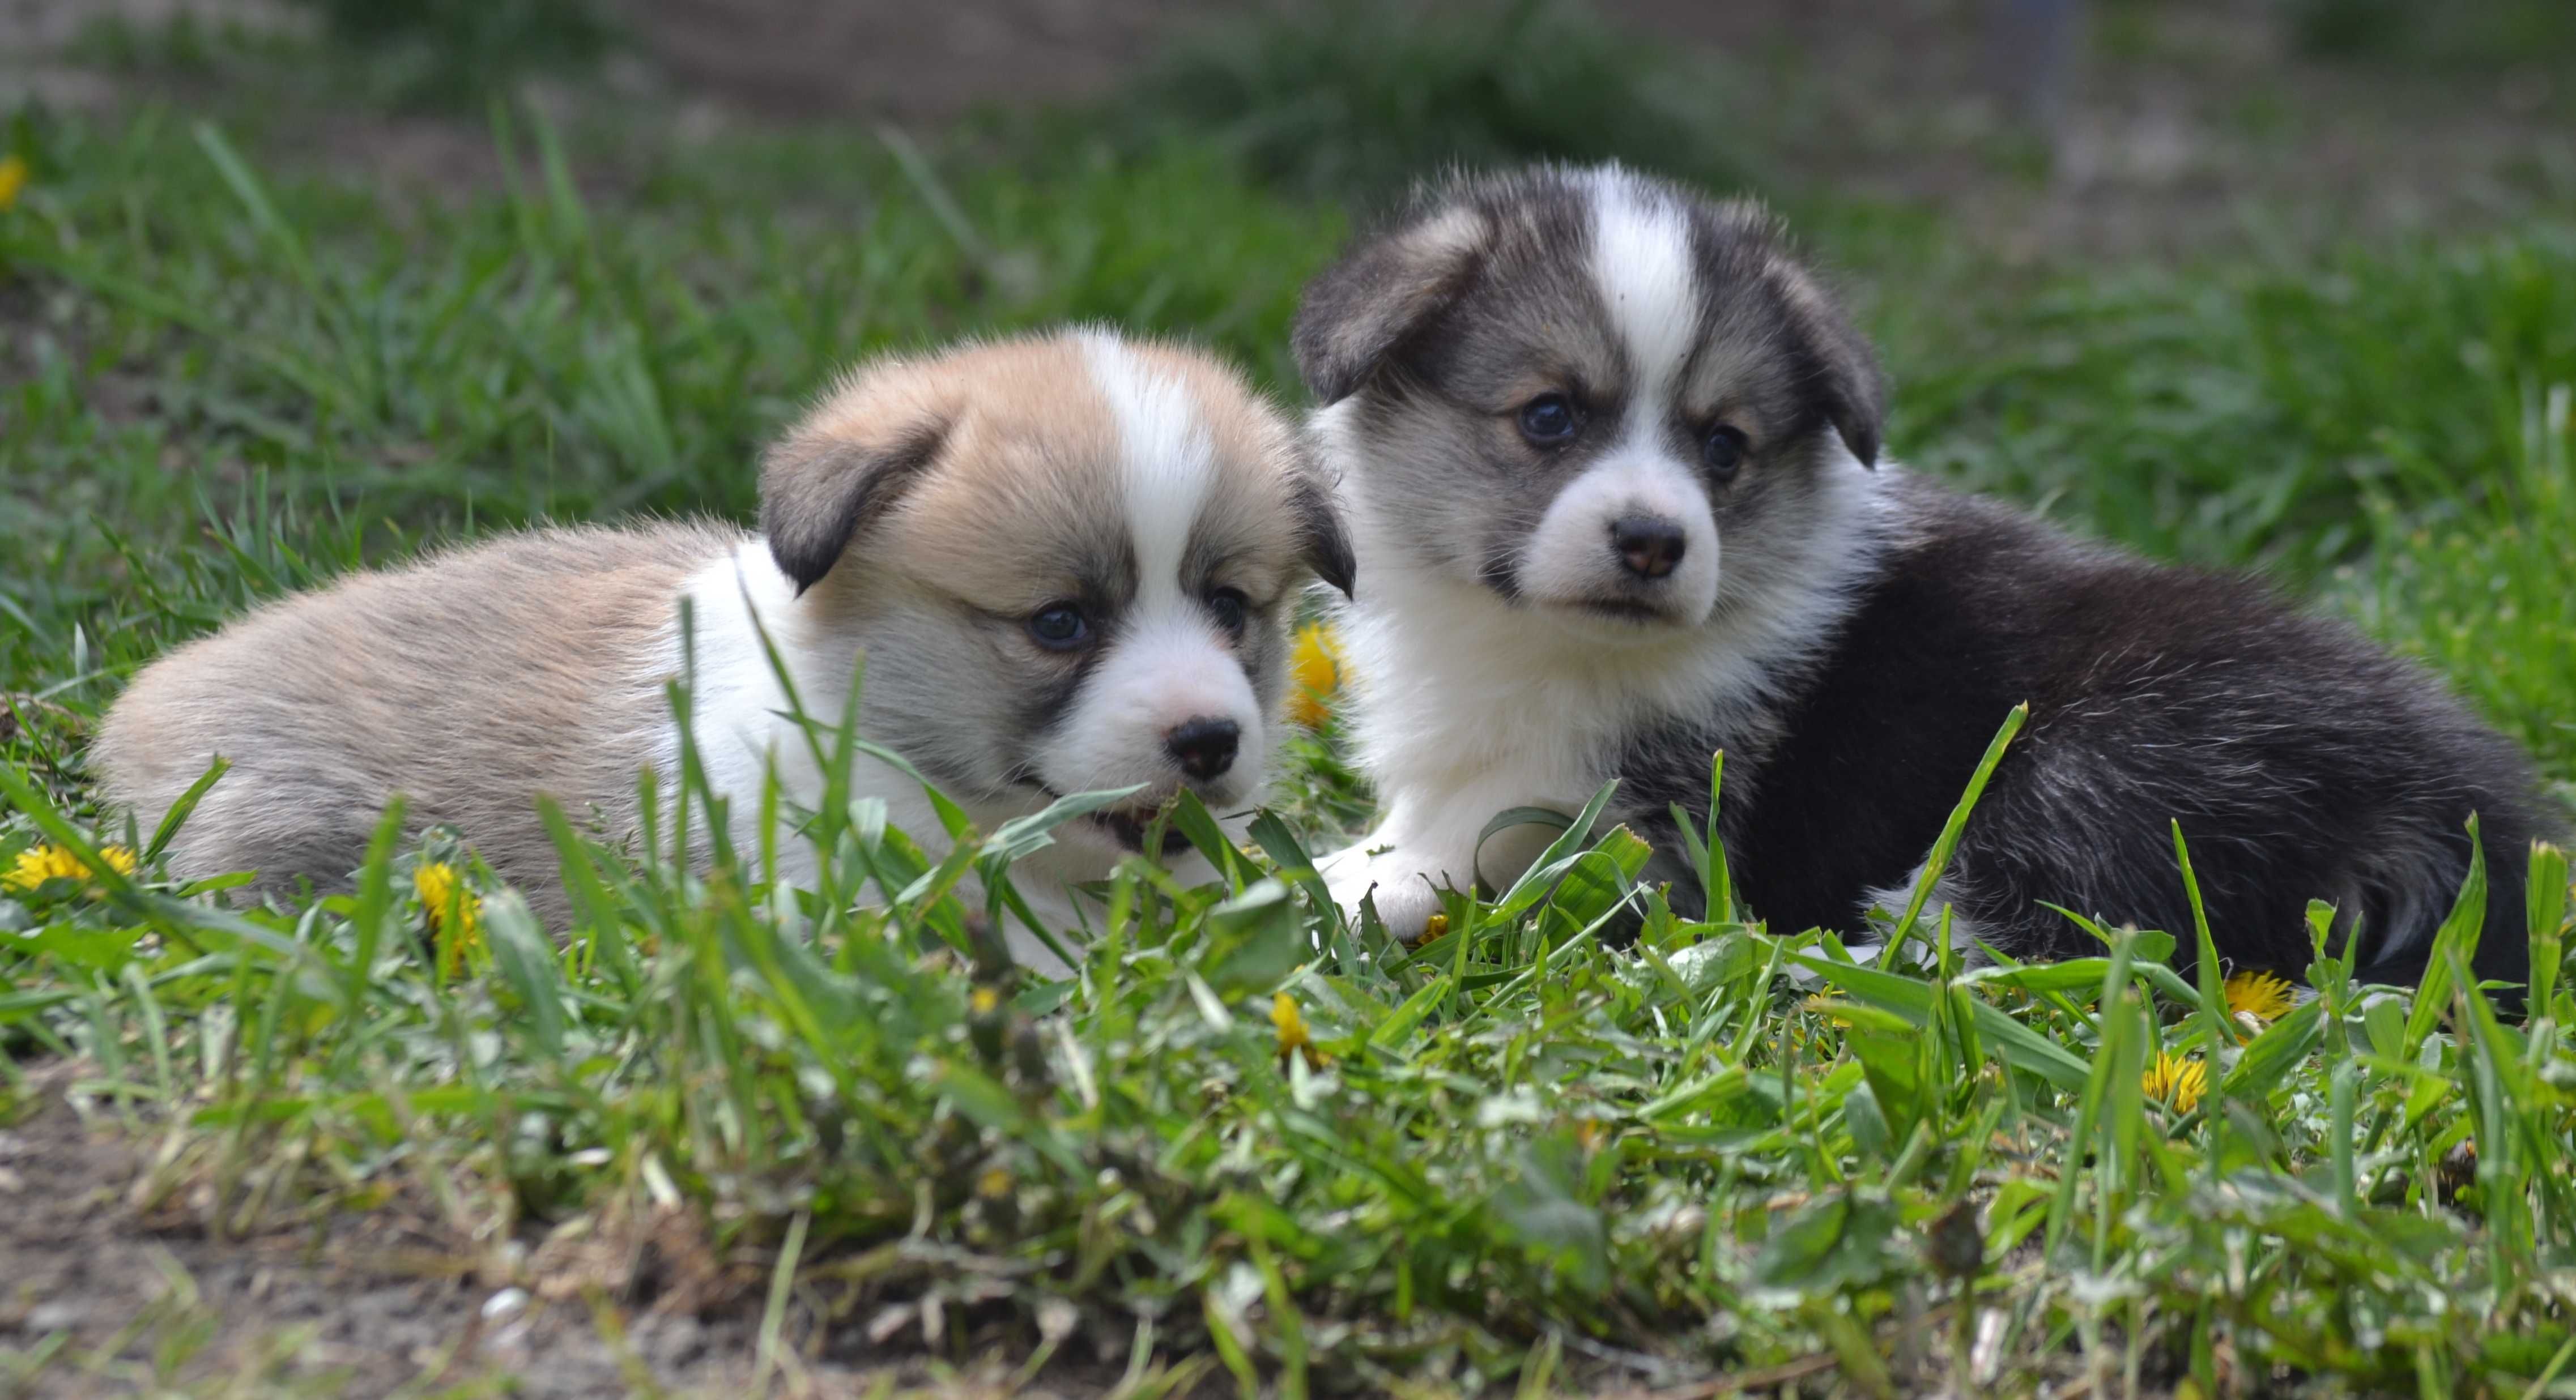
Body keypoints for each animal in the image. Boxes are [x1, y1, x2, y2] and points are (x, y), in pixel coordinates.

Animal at [1298, 164, 2545, 983]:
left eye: (1723, 447)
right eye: (1548, 417)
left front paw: (1360, 883)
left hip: (2120, 758)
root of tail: (2460, 801)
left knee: (2036, 940)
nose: (1653, 541)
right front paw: (1355, 857)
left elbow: (1496, 828)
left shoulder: (1644, 796)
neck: (1539, 643)